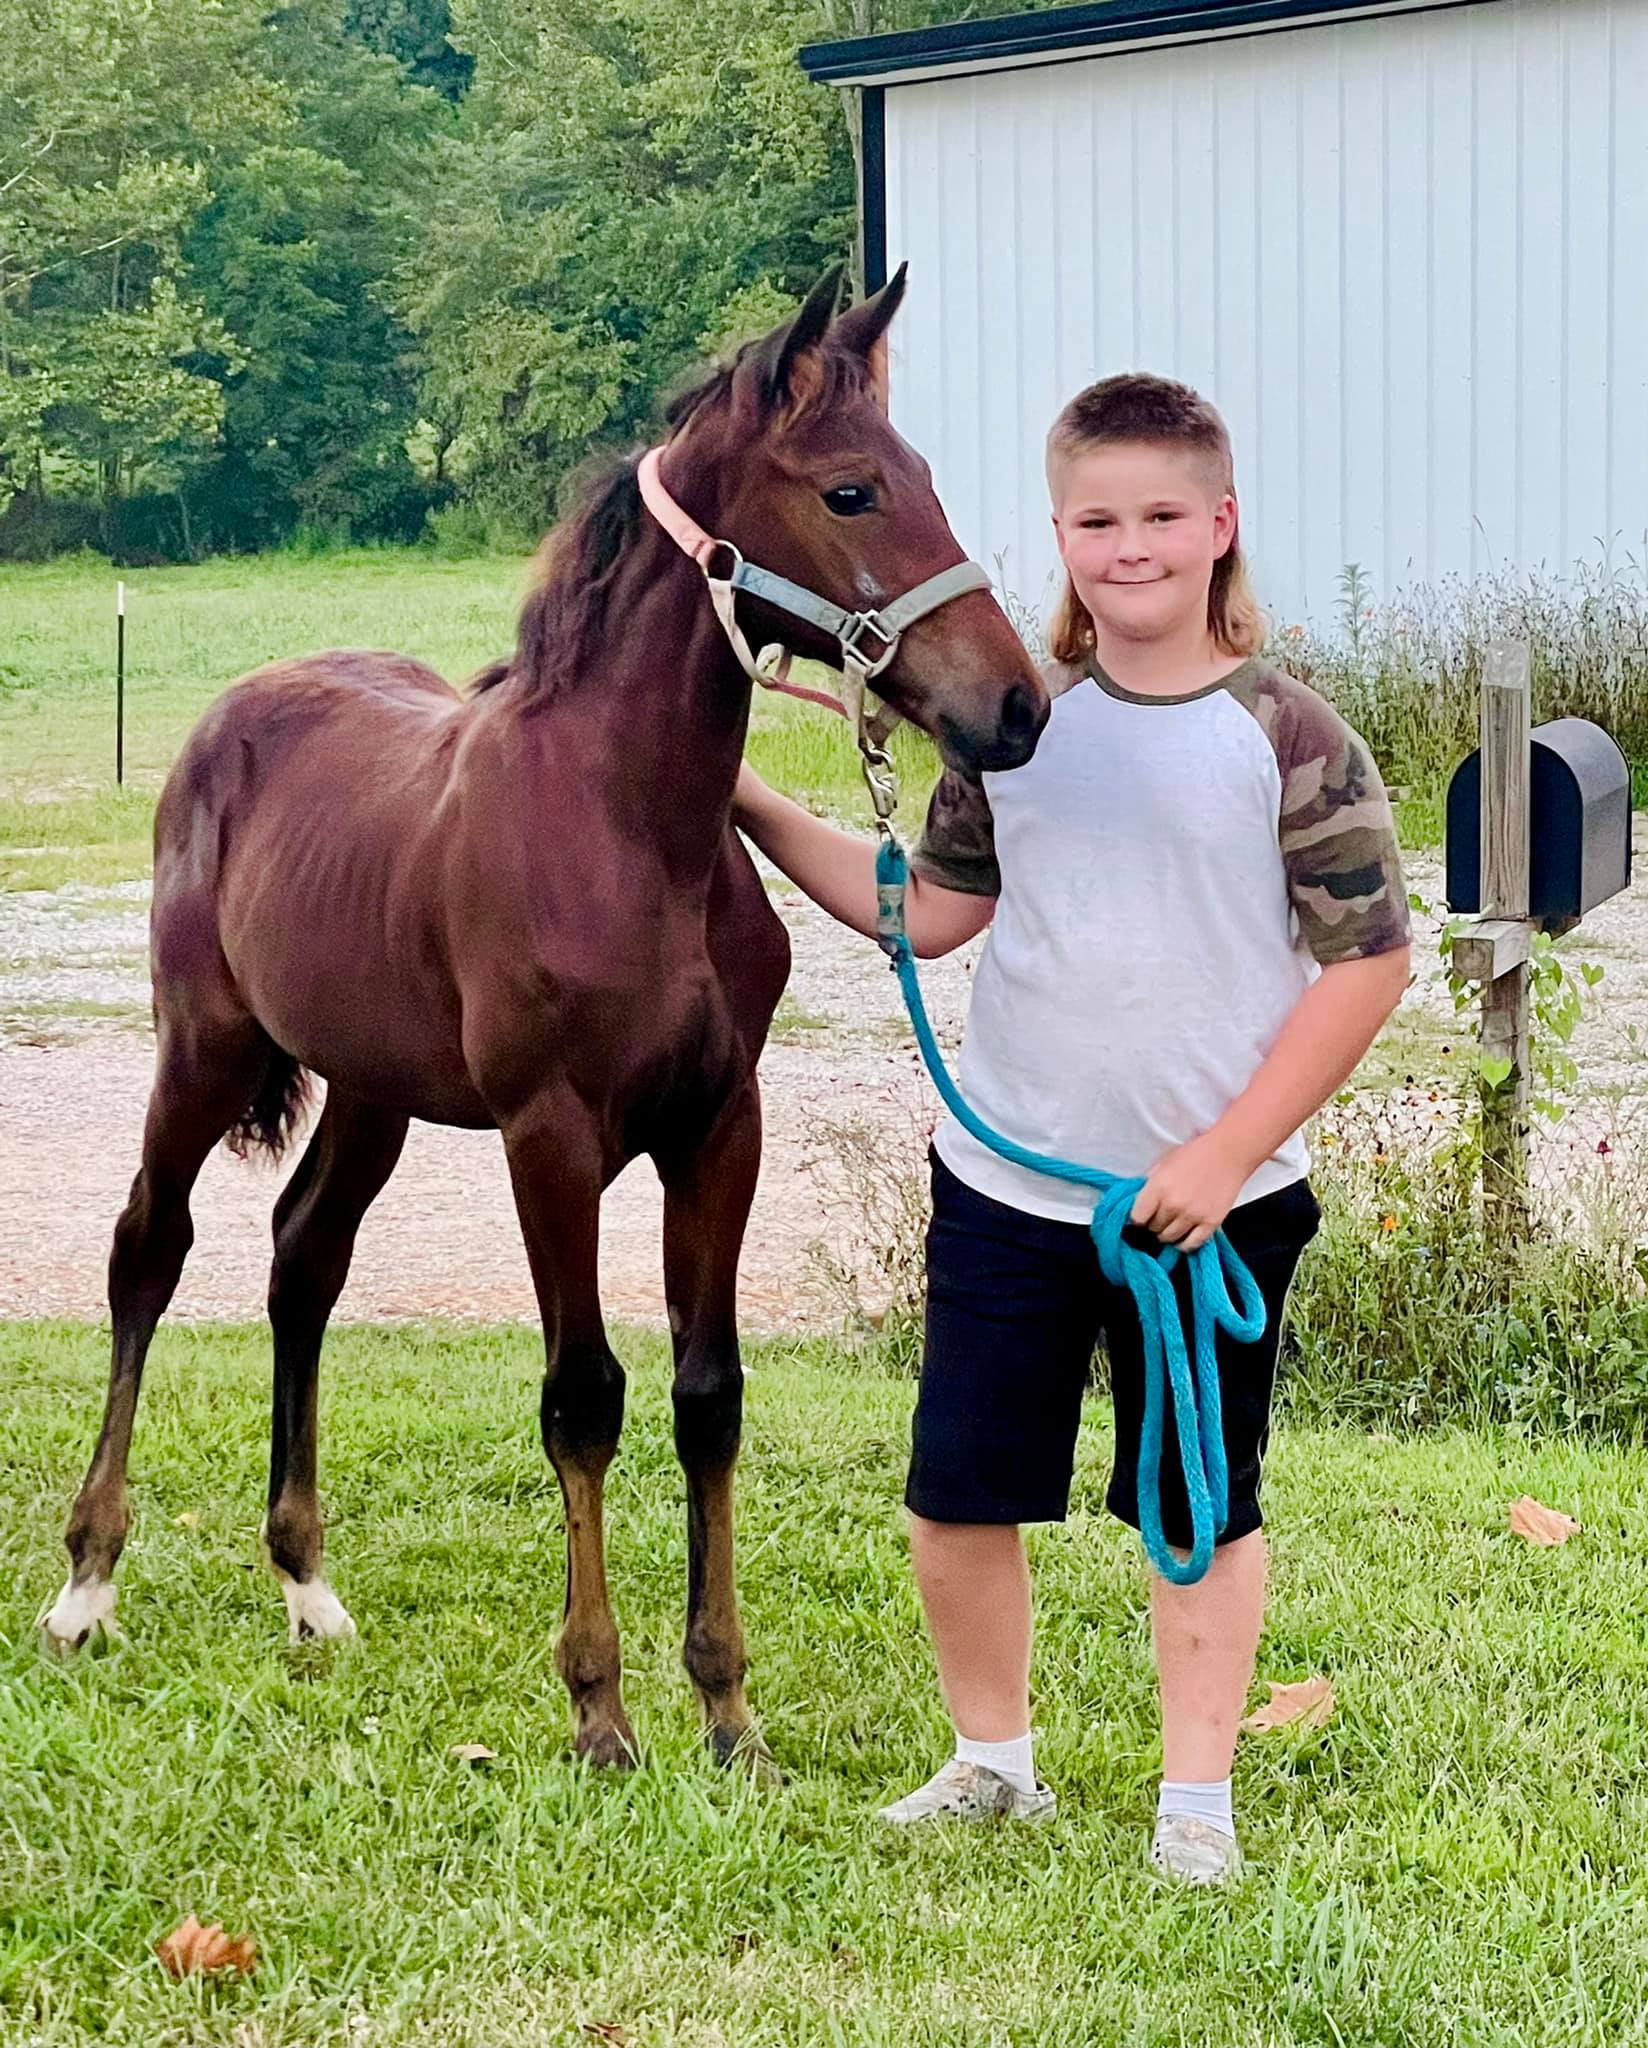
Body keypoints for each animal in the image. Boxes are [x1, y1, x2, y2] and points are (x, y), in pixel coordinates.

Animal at [41, 266, 1049, 1772]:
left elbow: (707, 1395)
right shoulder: (550, 1137)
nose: (1017, 705)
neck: (629, 824)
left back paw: (308, 1587)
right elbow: (582, 1396)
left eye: (922, 475)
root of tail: (235, 715)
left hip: (374, 1090)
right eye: (854, 490)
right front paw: (599, 1710)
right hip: (204, 1052)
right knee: (148, 1252)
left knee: (303, 1260)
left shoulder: (720, 1129)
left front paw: (727, 1711)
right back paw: (87, 1582)